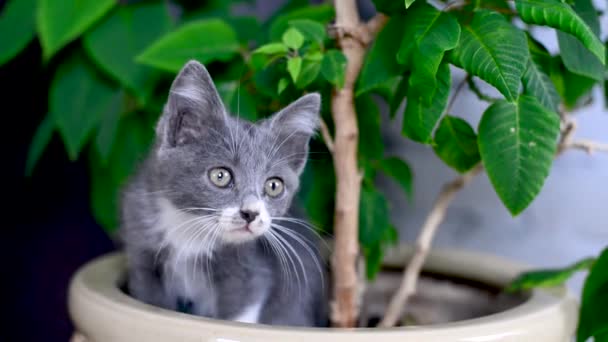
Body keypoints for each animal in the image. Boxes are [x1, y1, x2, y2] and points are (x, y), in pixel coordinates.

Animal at [120, 60, 328, 326]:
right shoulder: (142, 253)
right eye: (220, 176)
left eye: (273, 186)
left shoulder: (249, 269)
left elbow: (238, 315)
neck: (188, 228)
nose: (251, 213)